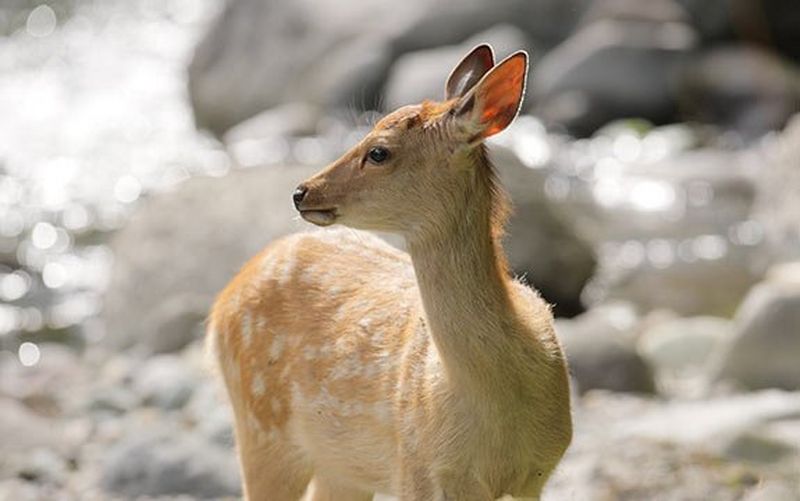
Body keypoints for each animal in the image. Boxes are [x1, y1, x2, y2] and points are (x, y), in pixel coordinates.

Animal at [207, 45, 573, 501]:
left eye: (379, 151)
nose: (301, 192)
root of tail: (224, 299)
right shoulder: (416, 466)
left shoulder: (537, 472)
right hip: (261, 427)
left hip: (336, 465)